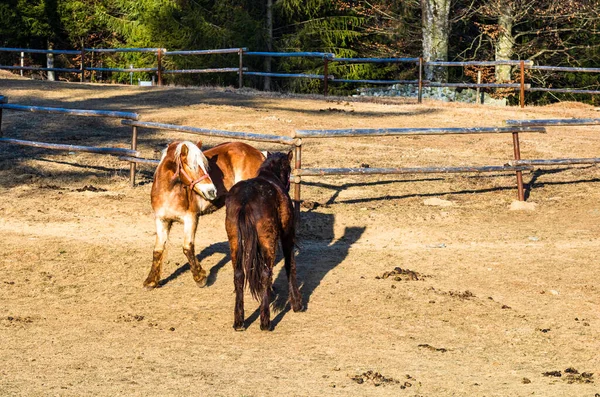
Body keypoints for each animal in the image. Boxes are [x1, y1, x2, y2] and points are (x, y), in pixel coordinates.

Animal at [144, 141, 264, 290]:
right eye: (192, 166)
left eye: (205, 166)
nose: (212, 191)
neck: (169, 192)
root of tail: (258, 153)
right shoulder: (161, 220)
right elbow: (158, 250)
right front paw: (151, 281)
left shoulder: (191, 218)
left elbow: (187, 248)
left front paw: (200, 277)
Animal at [224, 150, 302, 330]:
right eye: (288, 168)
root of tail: (245, 200)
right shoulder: (287, 235)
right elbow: (290, 265)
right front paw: (297, 303)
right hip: (268, 240)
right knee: (267, 273)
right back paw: (265, 321)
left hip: (235, 242)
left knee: (239, 275)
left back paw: (239, 321)